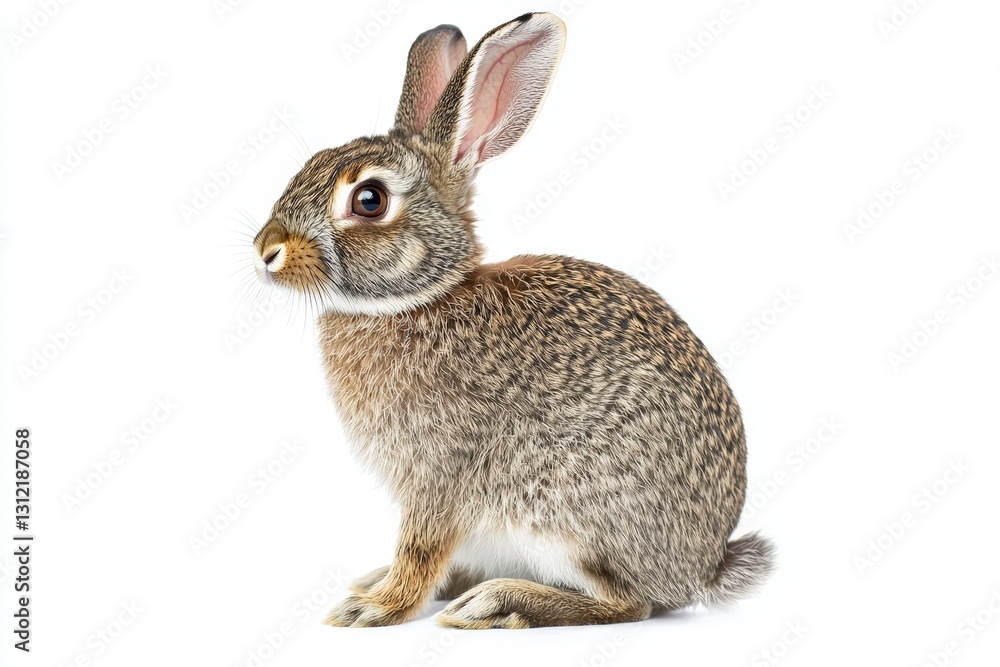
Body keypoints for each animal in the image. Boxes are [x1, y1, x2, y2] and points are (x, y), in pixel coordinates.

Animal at [251, 11, 775, 629]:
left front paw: (376, 608)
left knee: (629, 603)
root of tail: (704, 566)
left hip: (567, 517)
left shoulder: (440, 474)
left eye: (370, 200)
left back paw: (497, 602)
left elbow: (421, 548)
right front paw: (378, 587)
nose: (265, 251)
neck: (422, 297)